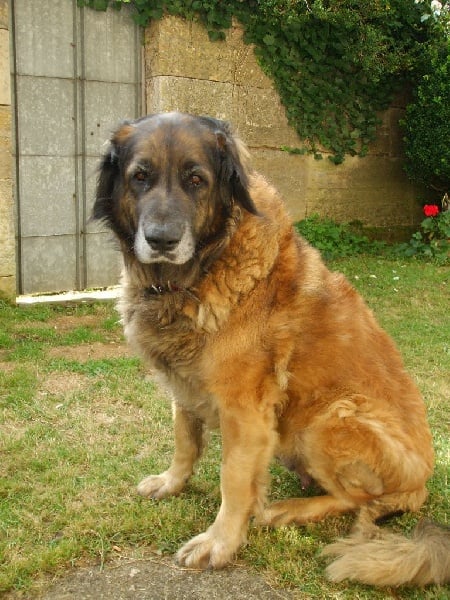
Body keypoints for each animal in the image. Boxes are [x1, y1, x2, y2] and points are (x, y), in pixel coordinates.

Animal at [93, 112, 450, 586]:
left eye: (196, 180)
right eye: (140, 177)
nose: (162, 239)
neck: (202, 268)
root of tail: (421, 483)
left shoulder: (244, 410)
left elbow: (232, 478)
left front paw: (219, 542)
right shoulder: (184, 386)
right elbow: (184, 440)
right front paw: (172, 483)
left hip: (330, 418)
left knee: (355, 501)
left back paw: (288, 510)